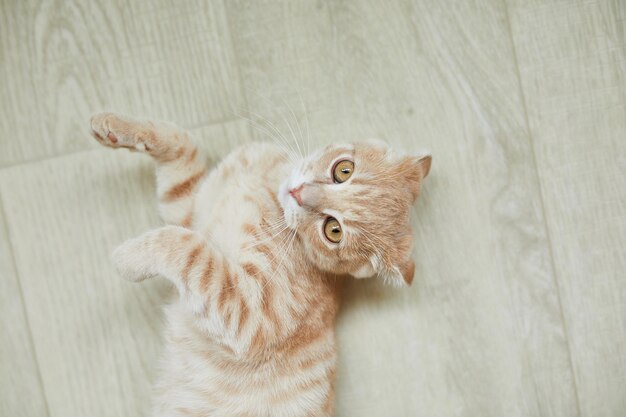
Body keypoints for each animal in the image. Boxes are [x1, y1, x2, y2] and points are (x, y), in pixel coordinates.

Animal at [89, 110, 428, 416]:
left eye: (333, 231)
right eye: (343, 170)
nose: (299, 193)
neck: (267, 188)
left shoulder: (247, 314)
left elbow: (185, 245)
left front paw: (128, 257)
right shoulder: (189, 210)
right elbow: (181, 142)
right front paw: (114, 126)